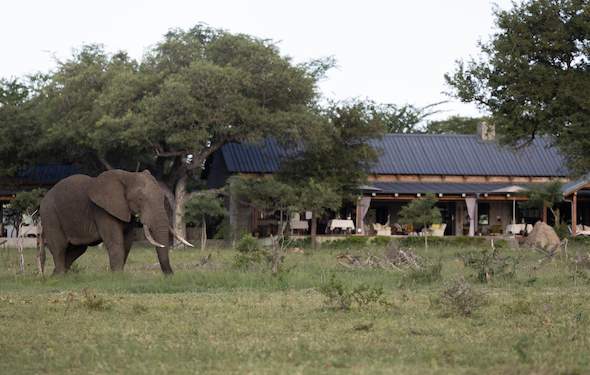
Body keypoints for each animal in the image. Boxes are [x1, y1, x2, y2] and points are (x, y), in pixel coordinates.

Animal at [38, 170, 192, 276]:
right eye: (140, 199)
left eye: (162, 197)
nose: (170, 276)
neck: (128, 175)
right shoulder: (102, 210)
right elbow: (115, 241)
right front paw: (118, 276)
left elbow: (127, 242)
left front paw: (119, 275)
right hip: (50, 214)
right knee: (60, 247)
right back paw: (59, 276)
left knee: (77, 249)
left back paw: (58, 276)